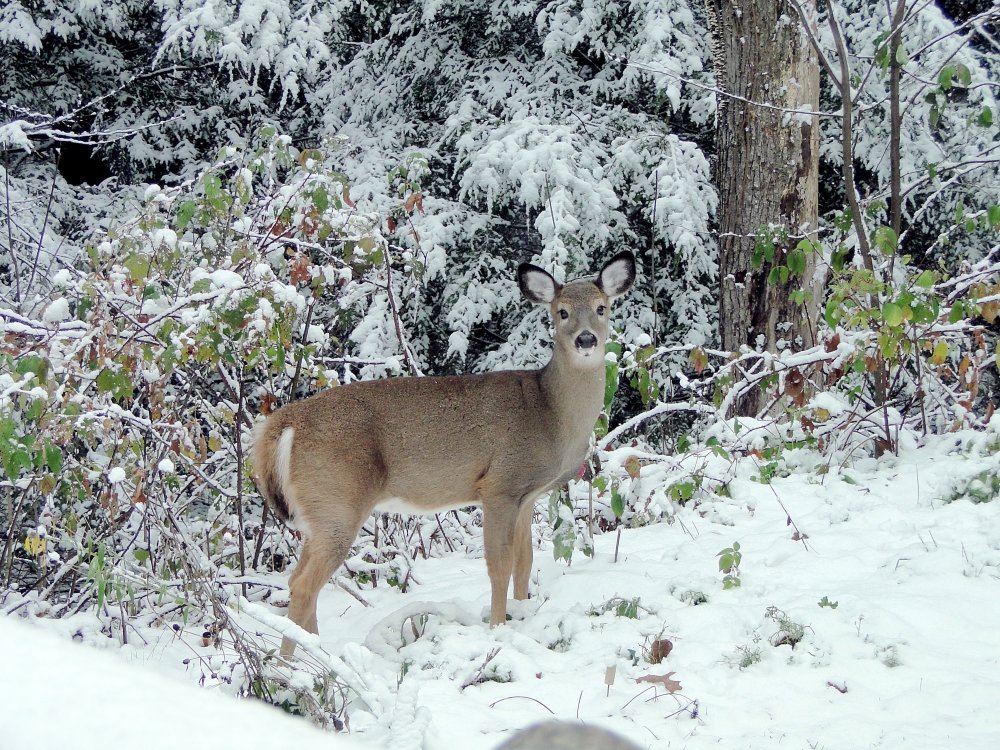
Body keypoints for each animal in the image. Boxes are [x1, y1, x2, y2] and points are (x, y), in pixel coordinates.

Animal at [254, 250, 636, 656]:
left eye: (601, 307)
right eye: (561, 312)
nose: (585, 339)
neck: (550, 412)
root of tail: (287, 421)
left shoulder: (526, 496)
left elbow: (524, 563)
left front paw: (521, 616)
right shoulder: (499, 484)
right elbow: (499, 566)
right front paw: (498, 629)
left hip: (318, 511)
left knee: (298, 579)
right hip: (336, 498)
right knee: (303, 585)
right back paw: (293, 663)